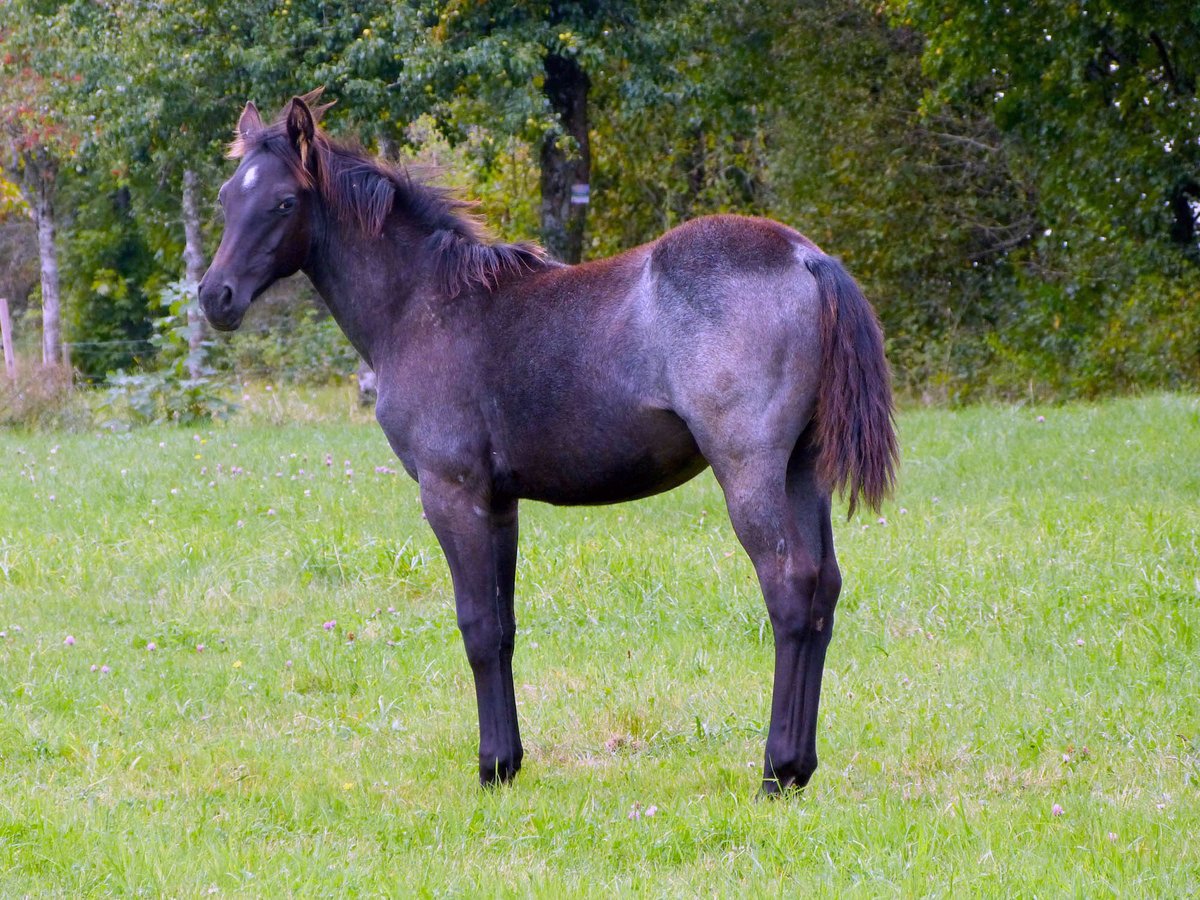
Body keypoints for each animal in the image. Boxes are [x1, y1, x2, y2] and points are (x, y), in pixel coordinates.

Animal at [196, 93, 897, 796]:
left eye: (283, 202)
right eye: (229, 196)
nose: (214, 296)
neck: (421, 305)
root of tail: (806, 258)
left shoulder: (451, 494)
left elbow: (477, 627)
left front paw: (490, 767)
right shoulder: (499, 503)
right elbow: (503, 627)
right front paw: (511, 762)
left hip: (749, 471)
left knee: (788, 587)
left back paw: (776, 772)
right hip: (802, 470)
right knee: (823, 591)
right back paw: (801, 768)